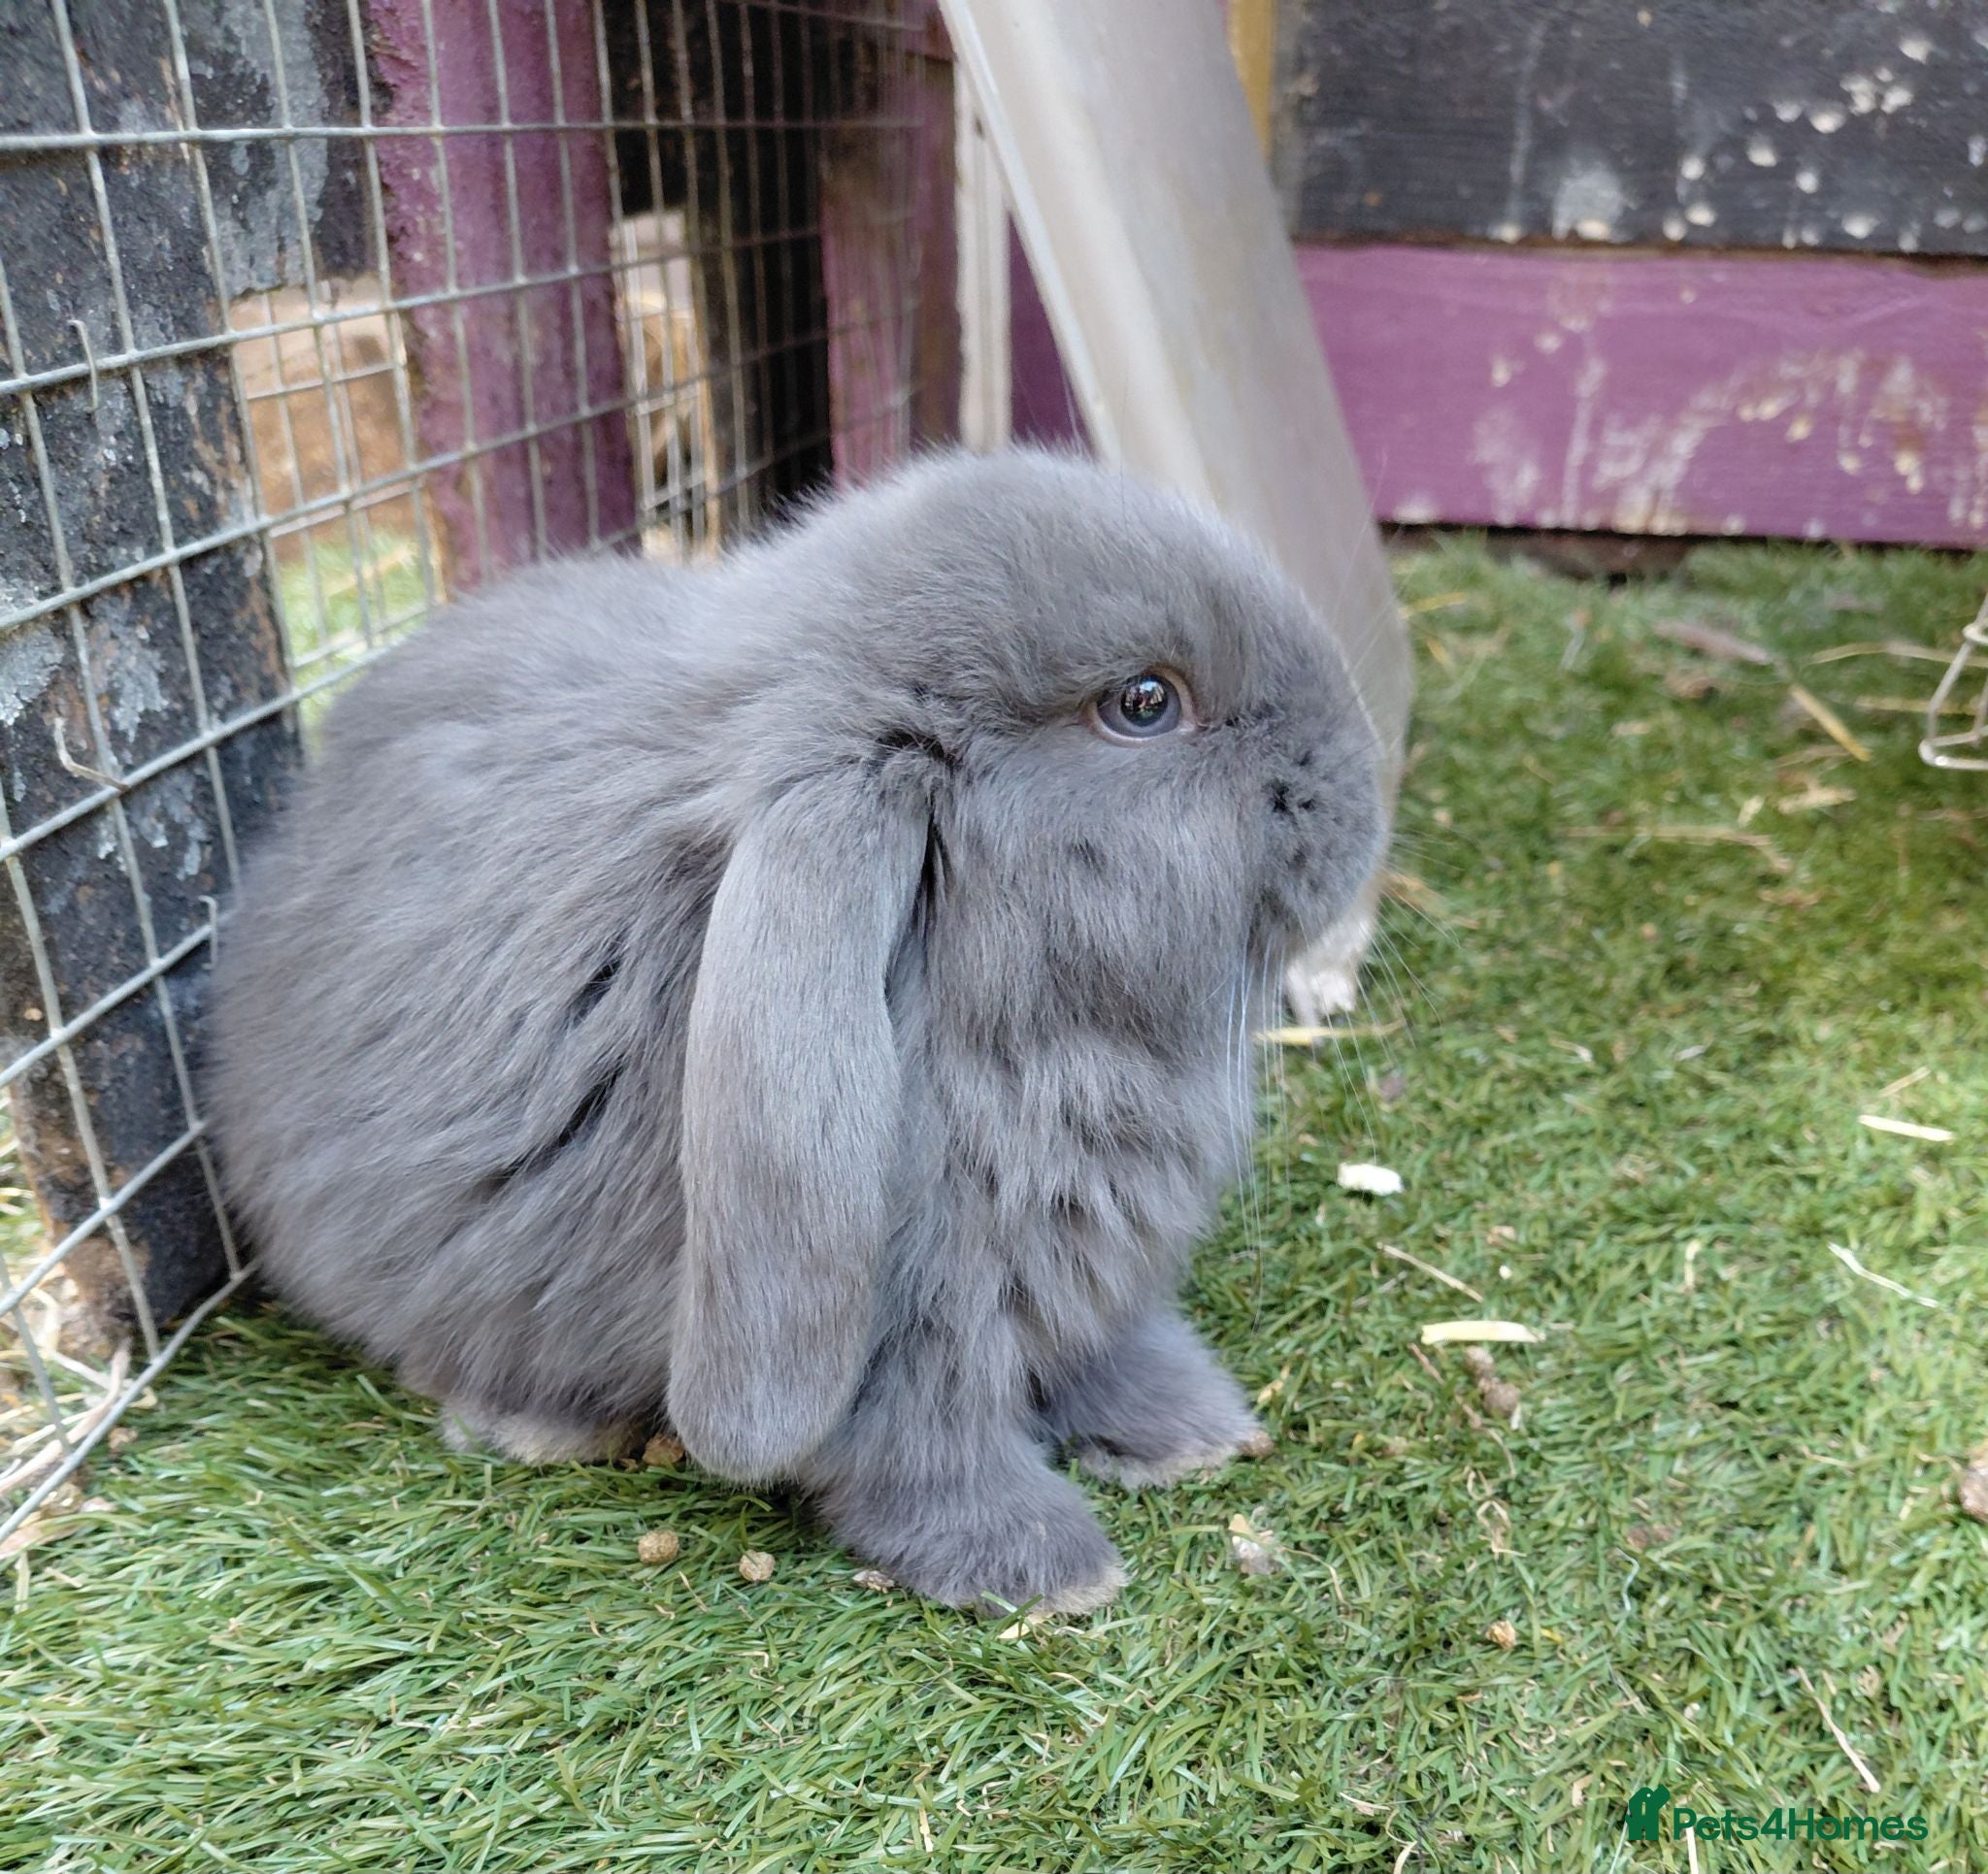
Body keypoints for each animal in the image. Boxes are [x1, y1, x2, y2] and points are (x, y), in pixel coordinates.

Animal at [205, 448, 1386, 1614]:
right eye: (1143, 703)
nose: (1362, 789)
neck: (1024, 1029)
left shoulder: (1084, 1287)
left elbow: (1105, 1354)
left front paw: (1191, 1430)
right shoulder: (907, 1335)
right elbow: (920, 1449)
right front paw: (1042, 1565)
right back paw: (536, 1423)